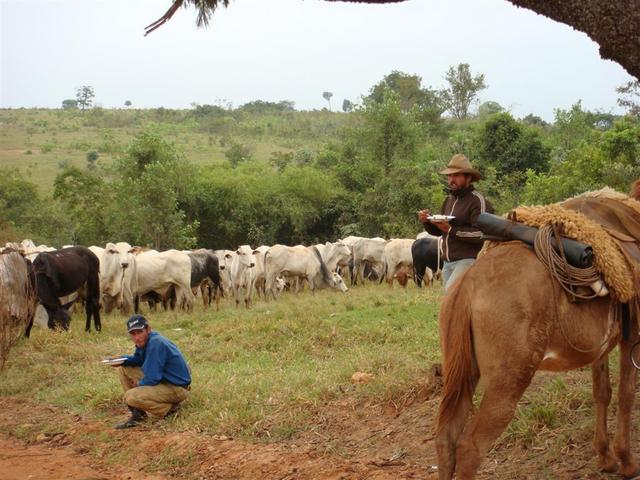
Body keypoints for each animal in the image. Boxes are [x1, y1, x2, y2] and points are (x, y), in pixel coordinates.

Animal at [436, 238, 640, 478]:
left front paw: (606, 457)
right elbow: (626, 394)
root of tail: (469, 282)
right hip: (507, 383)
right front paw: (627, 462)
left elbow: (602, 393)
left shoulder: (601, 348)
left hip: (464, 374)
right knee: (470, 448)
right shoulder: (632, 336)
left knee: (446, 440)